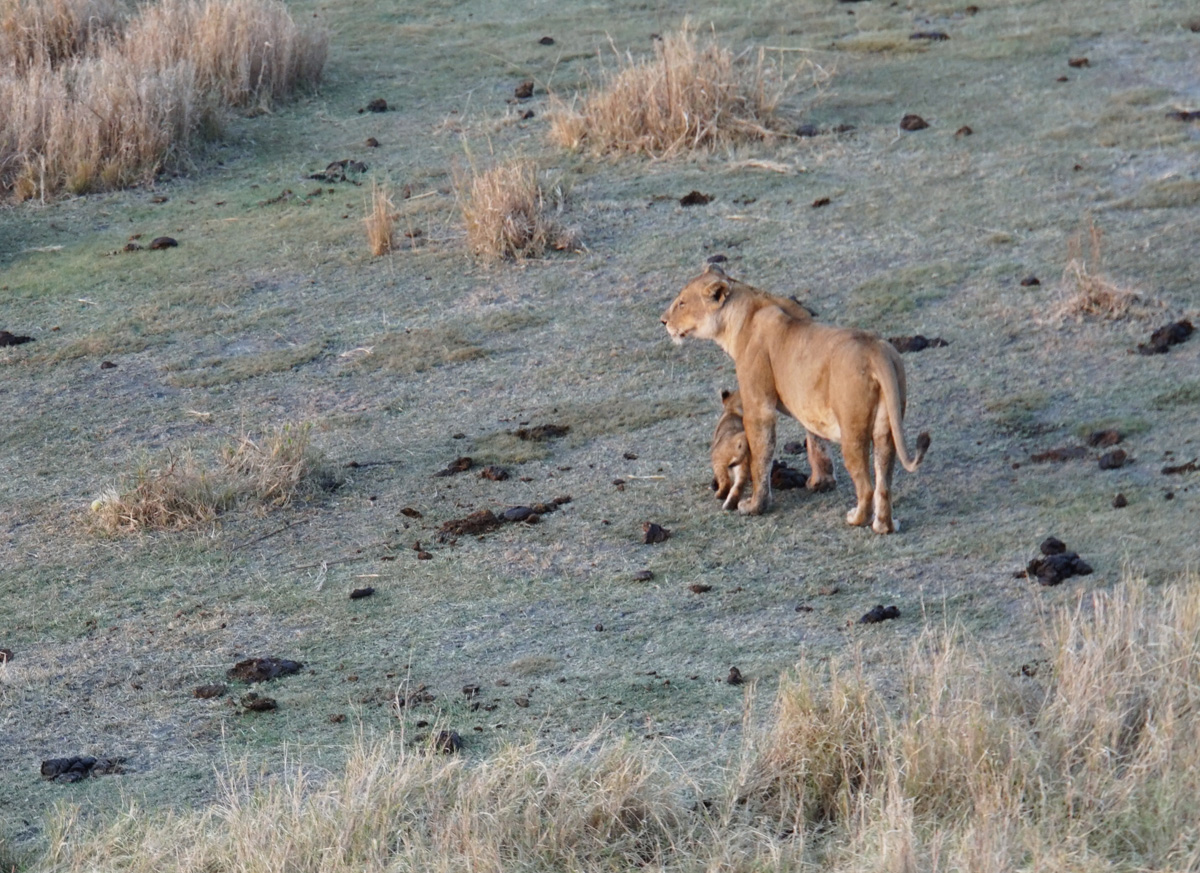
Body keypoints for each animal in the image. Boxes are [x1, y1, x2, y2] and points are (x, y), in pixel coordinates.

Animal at [662, 264, 930, 533]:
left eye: (682, 303)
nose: (663, 321)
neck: (745, 310)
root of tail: (876, 350)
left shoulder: (759, 405)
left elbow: (760, 456)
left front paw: (756, 505)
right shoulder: (809, 405)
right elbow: (816, 441)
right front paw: (821, 482)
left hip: (853, 431)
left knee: (866, 486)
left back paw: (857, 518)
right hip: (886, 428)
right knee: (883, 482)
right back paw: (885, 525)